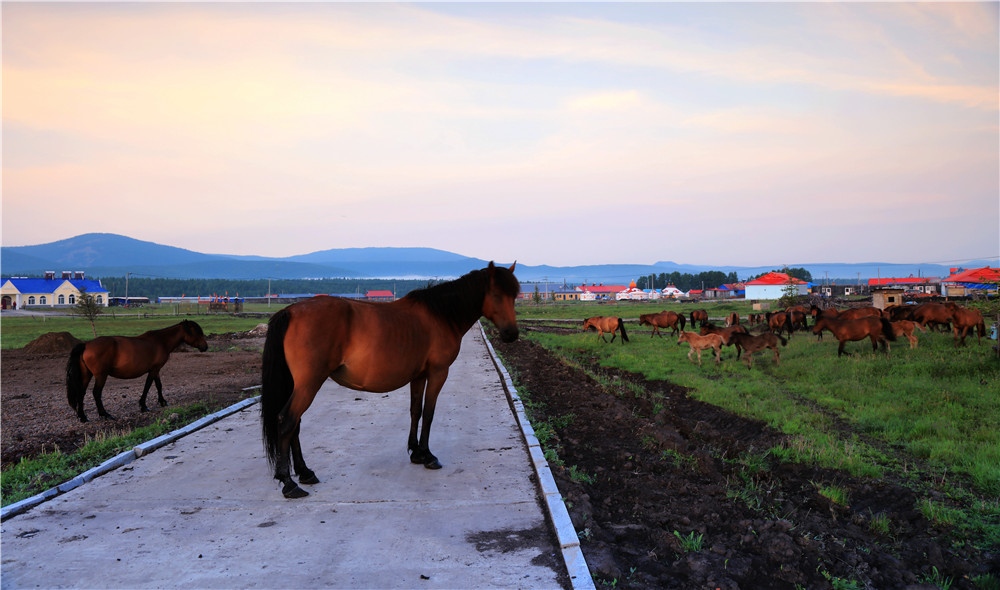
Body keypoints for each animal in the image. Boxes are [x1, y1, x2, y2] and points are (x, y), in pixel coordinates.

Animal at [64, 322, 209, 424]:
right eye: (197, 333)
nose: (205, 347)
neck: (161, 341)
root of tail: (86, 345)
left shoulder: (156, 370)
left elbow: (158, 385)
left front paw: (162, 402)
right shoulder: (154, 370)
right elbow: (148, 386)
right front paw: (143, 406)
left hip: (86, 375)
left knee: (81, 393)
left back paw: (83, 417)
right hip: (101, 376)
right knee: (96, 393)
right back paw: (105, 414)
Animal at [258, 264, 524, 500]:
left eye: (515, 295)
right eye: (497, 294)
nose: (512, 334)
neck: (441, 315)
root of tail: (291, 311)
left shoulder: (419, 376)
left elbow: (416, 411)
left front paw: (416, 452)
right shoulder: (438, 373)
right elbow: (429, 413)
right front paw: (428, 456)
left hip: (300, 385)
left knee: (296, 424)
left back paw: (305, 472)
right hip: (309, 383)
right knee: (287, 420)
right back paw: (289, 482)